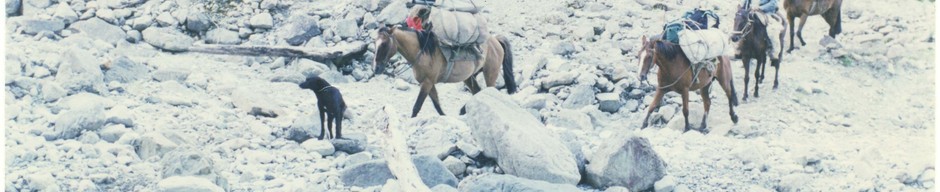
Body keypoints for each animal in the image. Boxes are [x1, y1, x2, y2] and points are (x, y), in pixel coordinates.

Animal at [370, 25, 516, 118]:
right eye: (374, 43)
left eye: (384, 44)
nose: (376, 68)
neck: (423, 52)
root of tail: (495, 40)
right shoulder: (428, 83)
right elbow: (437, 105)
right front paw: (444, 116)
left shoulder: (427, 83)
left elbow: (417, 106)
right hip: (468, 77)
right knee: (477, 91)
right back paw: (463, 110)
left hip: (490, 73)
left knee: (488, 91)